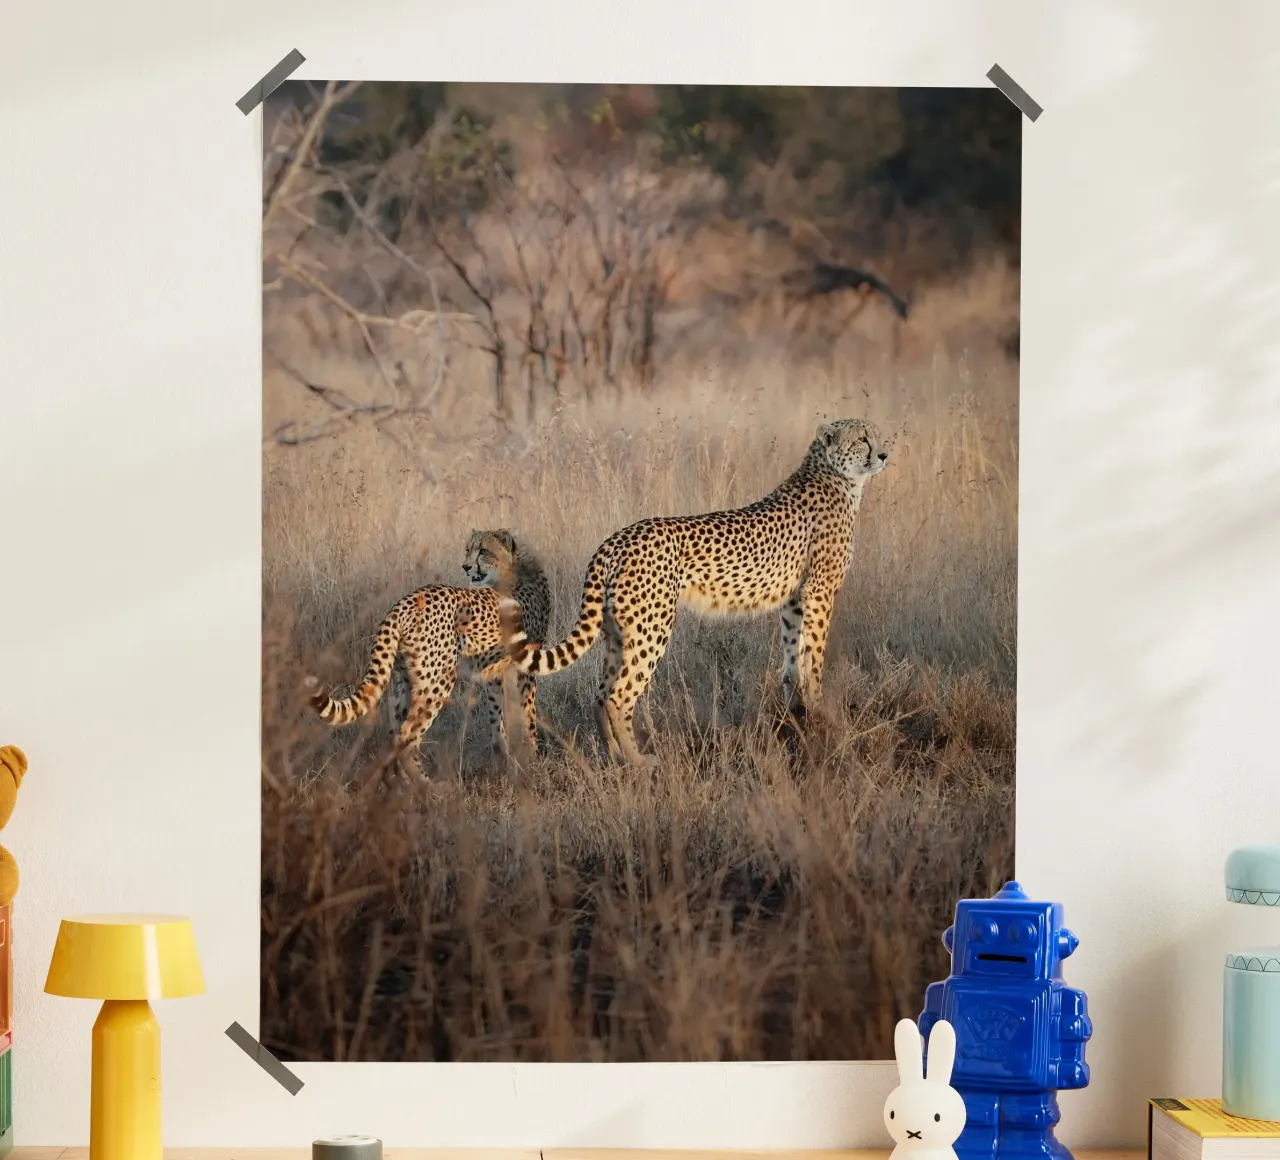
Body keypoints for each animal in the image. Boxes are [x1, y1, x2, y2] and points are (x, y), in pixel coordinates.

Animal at [306, 529, 552, 769]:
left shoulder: (496, 671)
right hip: (437, 680)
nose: (466, 566)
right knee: (407, 737)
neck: (513, 568)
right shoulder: (524, 664)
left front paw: (505, 757)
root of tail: (404, 603)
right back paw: (427, 782)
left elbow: (497, 712)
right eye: (468, 550)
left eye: (483, 550)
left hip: (402, 680)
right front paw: (531, 756)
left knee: (394, 733)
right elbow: (527, 711)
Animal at [485, 419, 889, 766]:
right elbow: (814, 655)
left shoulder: (794, 599)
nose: (884, 454)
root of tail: (616, 539)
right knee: (618, 696)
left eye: (876, 435)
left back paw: (615, 758)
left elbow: (794, 656)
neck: (836, 476)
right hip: (652, 627)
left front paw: (796, 712)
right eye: (862, 439)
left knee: (600, 694)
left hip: (617, 631)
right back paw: (639, 761)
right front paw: (821, 713)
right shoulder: (820, 590)